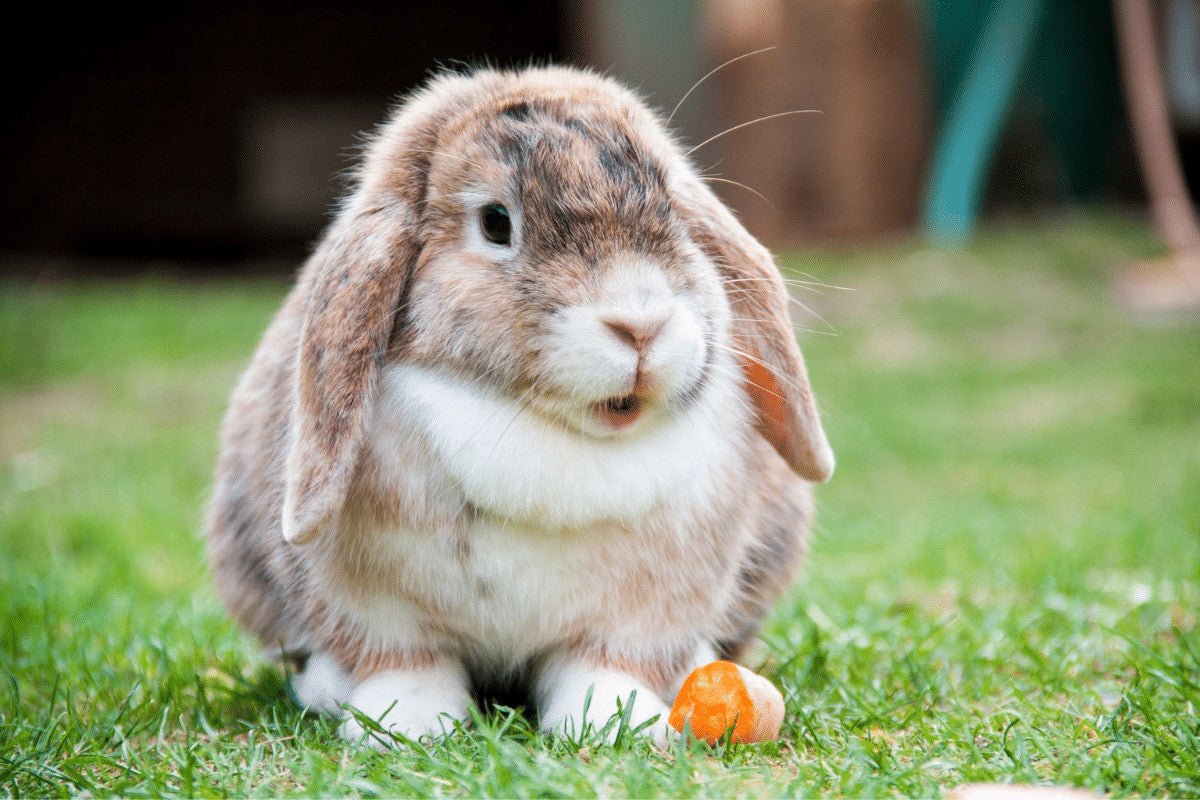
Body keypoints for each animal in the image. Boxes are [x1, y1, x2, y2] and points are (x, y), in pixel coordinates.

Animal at [204, 64, 834, 748]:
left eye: (671, 206)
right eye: (496, 223)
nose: (640, 325)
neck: (544, 430)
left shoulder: (641, 614)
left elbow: (603, 666)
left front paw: (615, 725)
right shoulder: (375, 611)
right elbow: (407, 664)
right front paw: (405, 726)